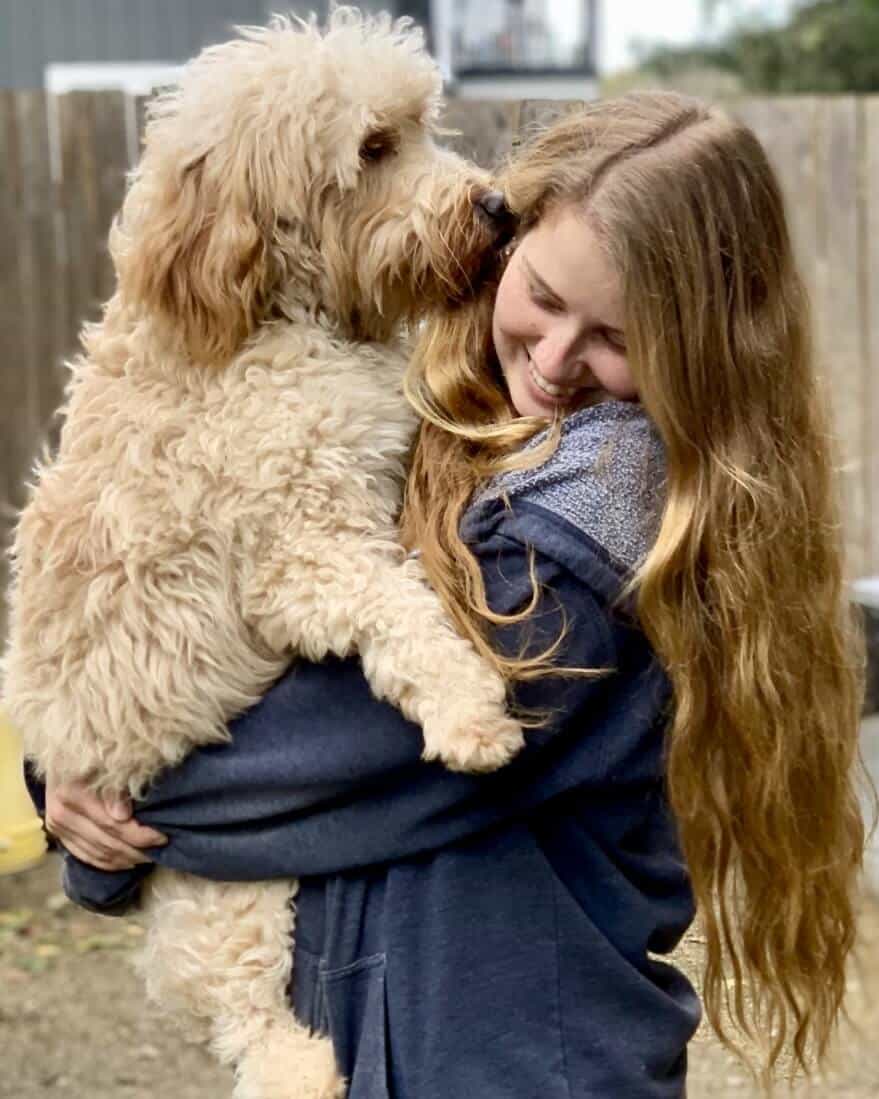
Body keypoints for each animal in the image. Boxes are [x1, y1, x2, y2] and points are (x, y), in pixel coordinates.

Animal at [1, 10, 523, 1099]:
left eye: (423, 124)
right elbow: (402, 610)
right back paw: (300, 1063)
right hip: (220, 894)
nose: (496, 206)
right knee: (243, 1015)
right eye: (372, 148)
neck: (274, 317)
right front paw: (470, 714)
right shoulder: (303, 553)